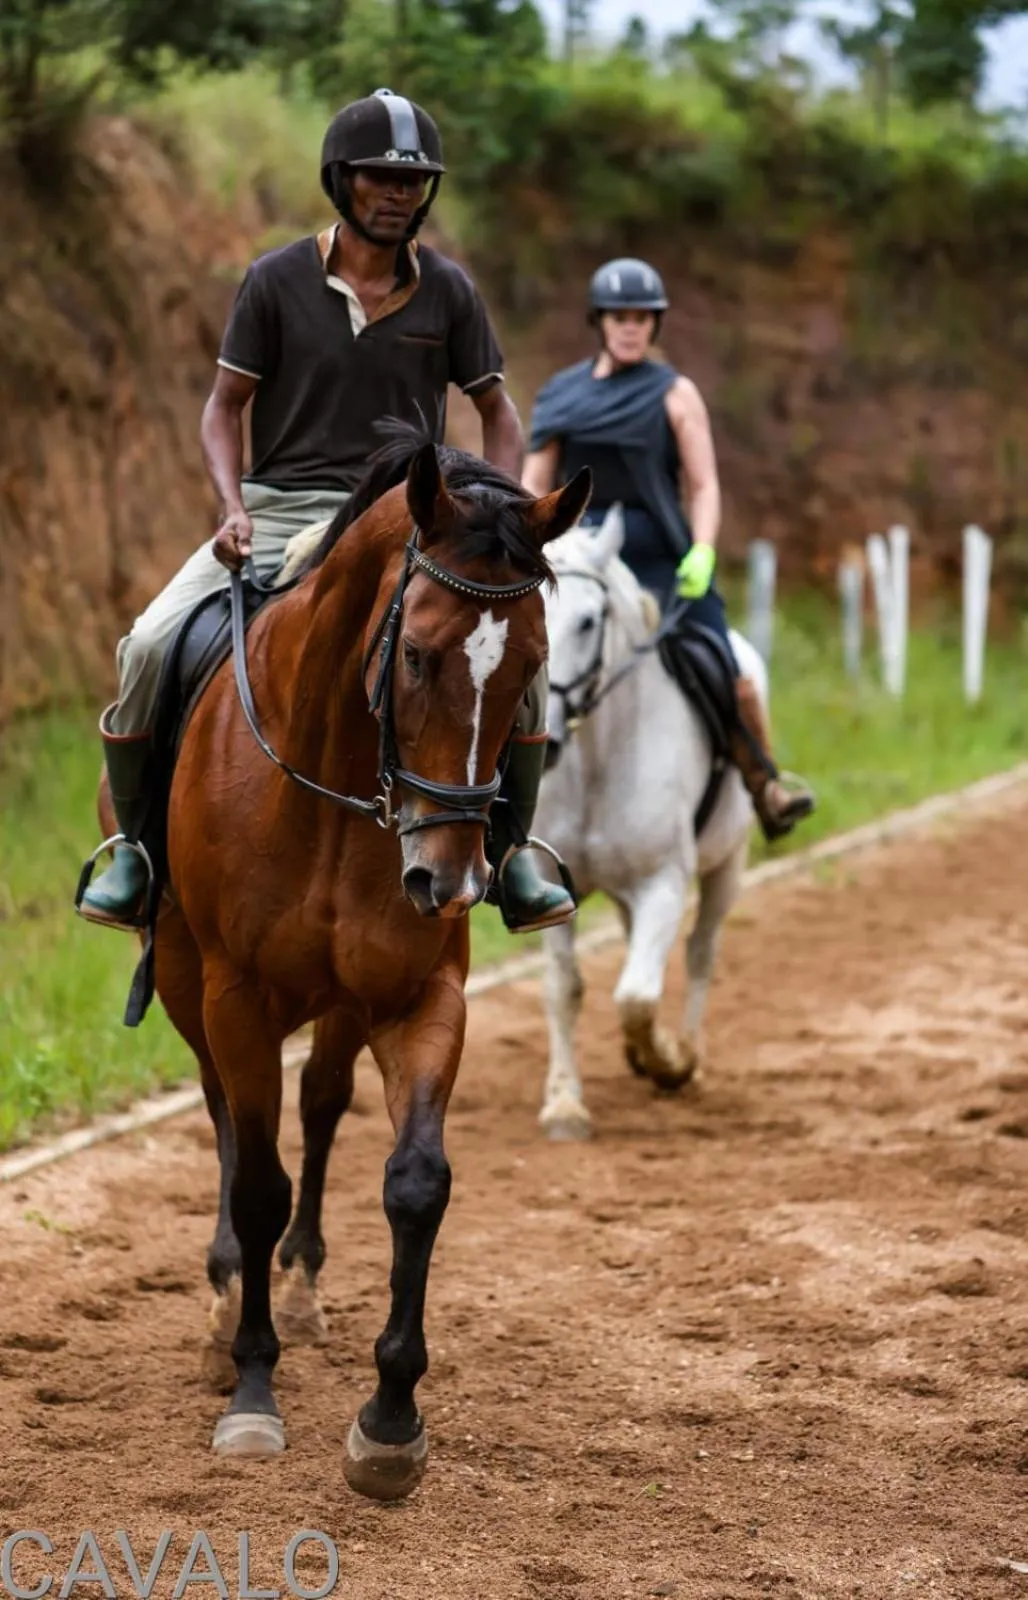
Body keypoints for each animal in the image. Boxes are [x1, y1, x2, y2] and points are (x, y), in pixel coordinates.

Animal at [99, 425, 591, 1497]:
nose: (450, 879)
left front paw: (391, 1419)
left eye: (532, 665)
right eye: (415, 654)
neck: (333, 777)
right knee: (230, 1120)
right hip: (191, 983)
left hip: (342, 1002)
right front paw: (252, 1389)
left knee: (321, 1105)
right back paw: (229, 1298)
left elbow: (416, 1182)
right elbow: (256, 1180)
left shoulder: (420, 997)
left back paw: (299, 1283)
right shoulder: (235, 997)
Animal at [533, 507, 766, 1140]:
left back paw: (686, 1053)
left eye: (588, 621)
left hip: (728, 866)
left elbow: (635, 995)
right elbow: (565, 988)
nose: (548, 740)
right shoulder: (548, 881)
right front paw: (564, 1103)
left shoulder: (664, 882)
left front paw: (668, 1061)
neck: (598, 759)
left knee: (700, 952)